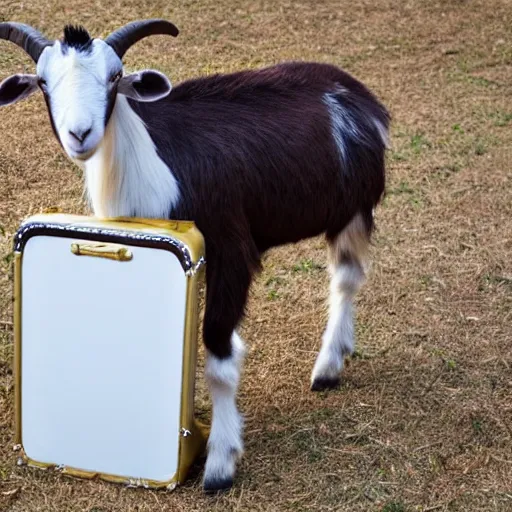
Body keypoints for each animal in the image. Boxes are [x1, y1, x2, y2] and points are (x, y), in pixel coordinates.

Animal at [1, 19, 392, 492]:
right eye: (43, 81)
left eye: (115, 77)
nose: (80, 134)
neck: (146, 161)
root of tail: (356, 91)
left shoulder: (230, 249)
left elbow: (219, 359)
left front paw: (221, 463)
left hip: (354, 207)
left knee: (347, 277)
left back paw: (327, 368)